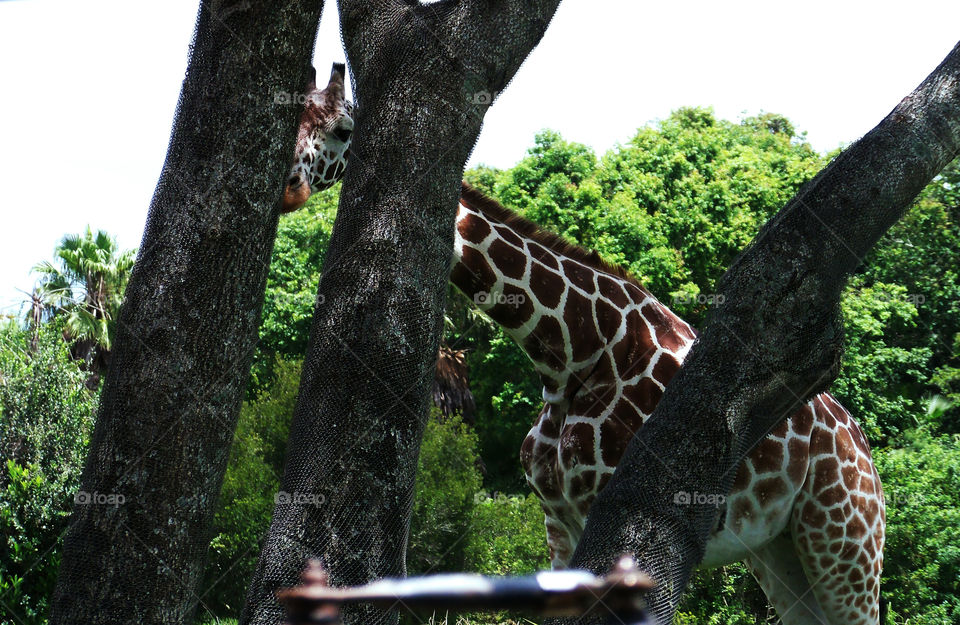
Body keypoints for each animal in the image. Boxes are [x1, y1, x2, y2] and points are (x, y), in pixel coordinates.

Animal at [284, 81, 884, 624]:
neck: (570, 355)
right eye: (294, 112)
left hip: (847, 546)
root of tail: (867, 457)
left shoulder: (621, 519)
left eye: (342, 128)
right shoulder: (558, 521)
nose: (288, 186)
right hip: (780, 553)